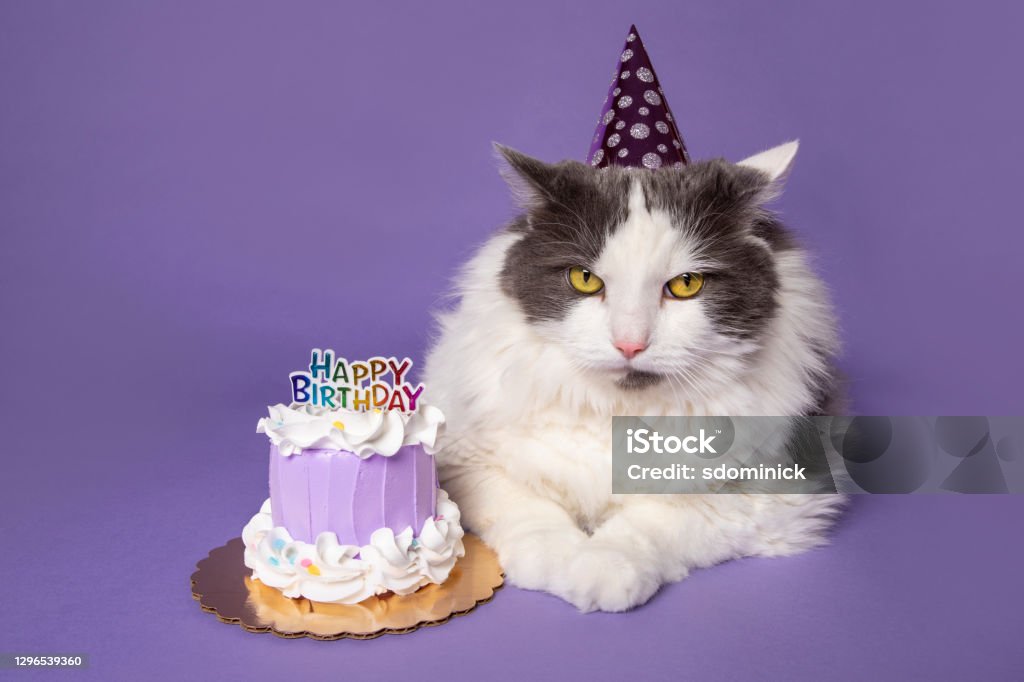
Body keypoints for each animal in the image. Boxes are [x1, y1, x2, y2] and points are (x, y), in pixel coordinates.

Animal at [419, 139, 843, 610]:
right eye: (584, 279)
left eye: (687, 285)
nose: (630, 345)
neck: (616, 411)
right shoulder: (465, 460)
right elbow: (526, 508)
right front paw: (555, 558)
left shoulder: (772, 489)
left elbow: (656, 521)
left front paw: (602, 569)